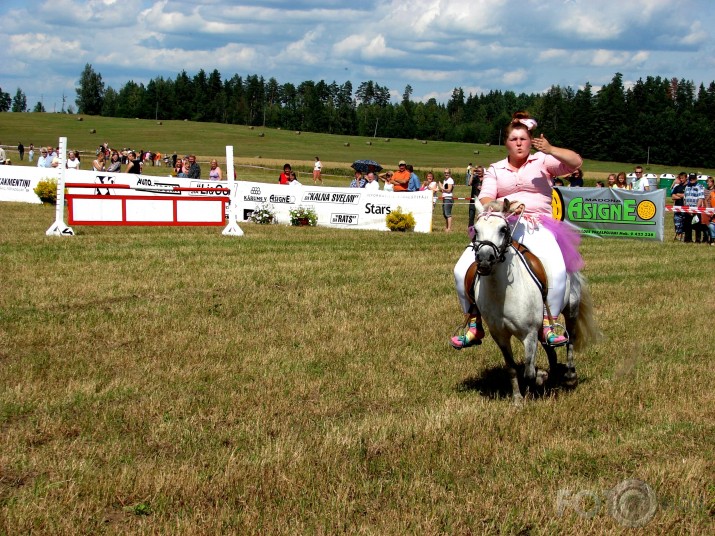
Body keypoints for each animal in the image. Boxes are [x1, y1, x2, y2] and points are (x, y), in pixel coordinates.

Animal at [470, 199, 600, 400]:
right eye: (476, 229)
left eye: (503, 229)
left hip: (571, 309)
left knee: (570, 339)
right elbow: (512, 369)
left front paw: (538, 380)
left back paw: (569, 376)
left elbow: (529, 371)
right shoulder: (500, 335)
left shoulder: (529, 333)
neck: (502, 294)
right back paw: (554, 374)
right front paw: (517, 398)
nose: (484, 259)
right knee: (549, 346)